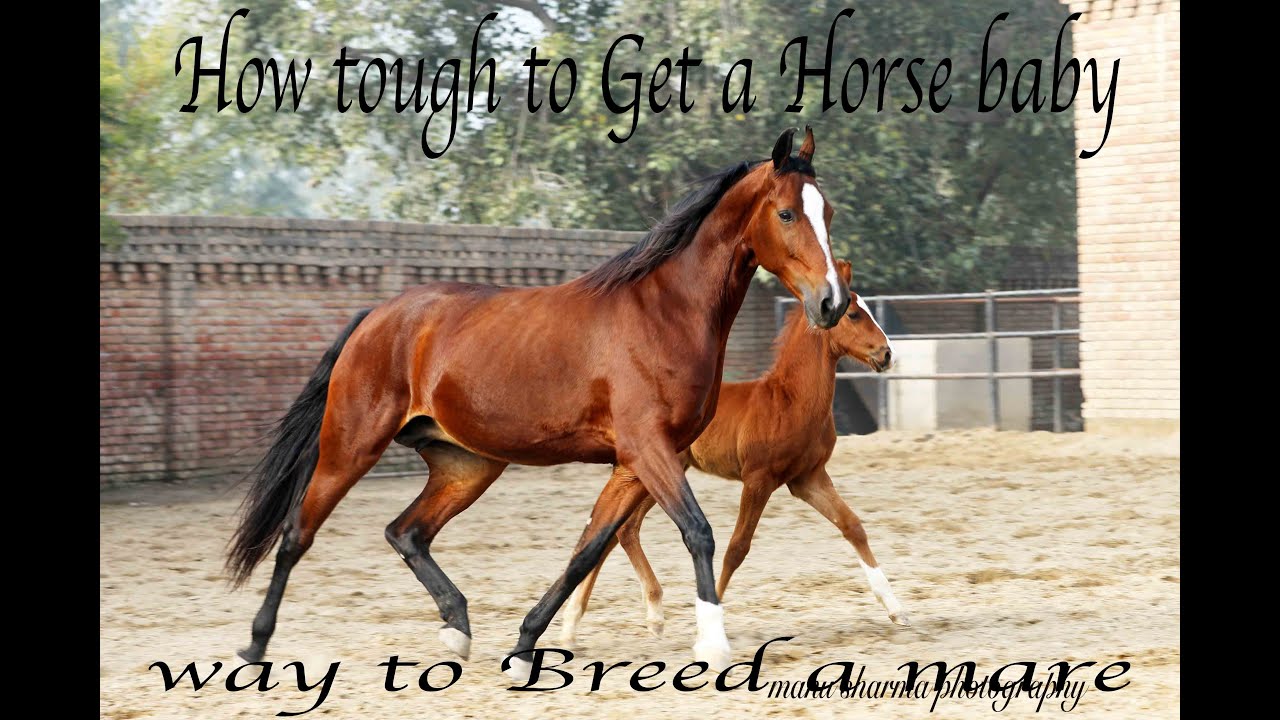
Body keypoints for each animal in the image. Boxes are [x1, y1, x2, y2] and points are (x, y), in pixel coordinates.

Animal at [226, 127, 851, 681]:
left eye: (829, 212)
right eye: (787, 214)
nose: (831, 303)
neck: (665, 313)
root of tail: (376, 317)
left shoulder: (638, 464)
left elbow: (585, 551)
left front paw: (525, 648)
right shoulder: (649, 451)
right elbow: (697, 532)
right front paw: (714, 645)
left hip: (466, 465)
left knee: (407, 532)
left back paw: (457, 631)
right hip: (351, 445)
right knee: (297, 533)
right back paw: (255, 647)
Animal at [557, 259, 910, 648]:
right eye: (853, 314)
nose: (888, 354)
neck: (790, 400)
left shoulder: (808, 478)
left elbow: (853, 526)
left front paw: (896, 609)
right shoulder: (759, 479)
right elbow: (737, 547)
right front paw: (707, 629)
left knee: (621, 531)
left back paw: (635, 618)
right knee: (613, 533)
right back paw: (579, 623)